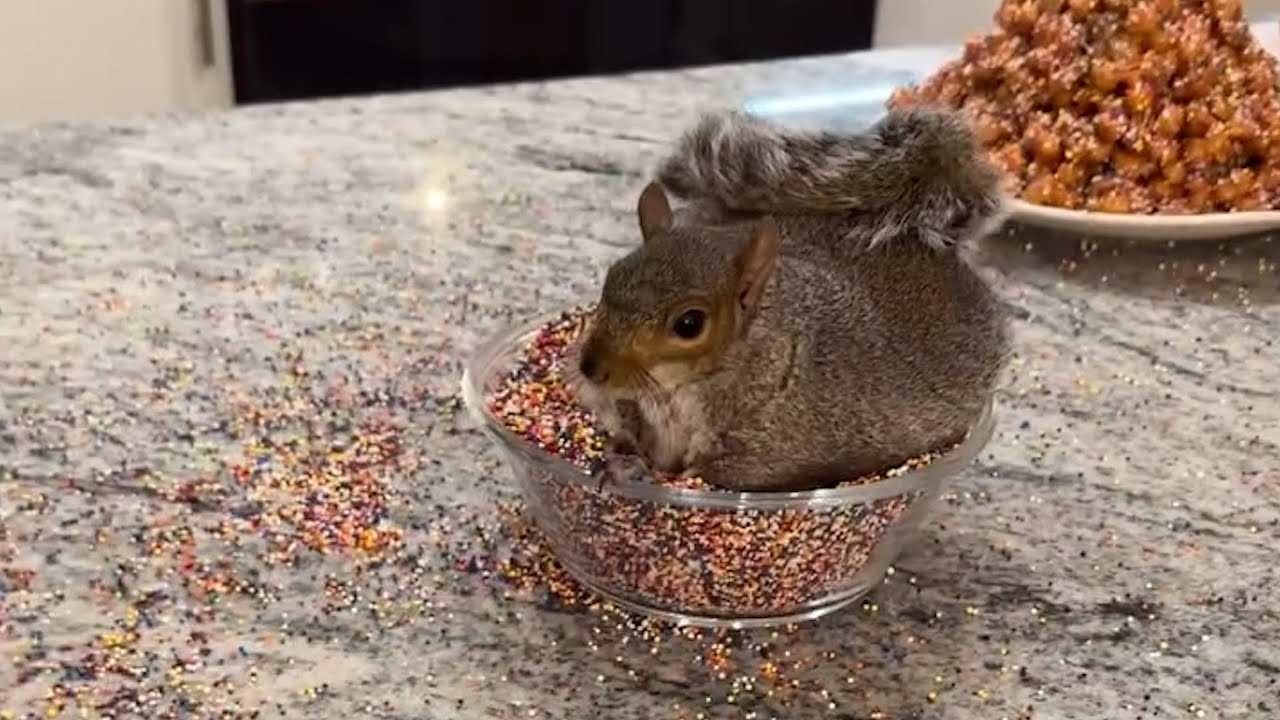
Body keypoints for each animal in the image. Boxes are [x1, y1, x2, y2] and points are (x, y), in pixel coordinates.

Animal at [567, 108, 1011, 493]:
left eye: (689, 324)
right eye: (612, 277)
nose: (591, 368)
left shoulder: (770, 456)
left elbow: (709, 476)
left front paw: (642, 473)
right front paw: (625, 460)